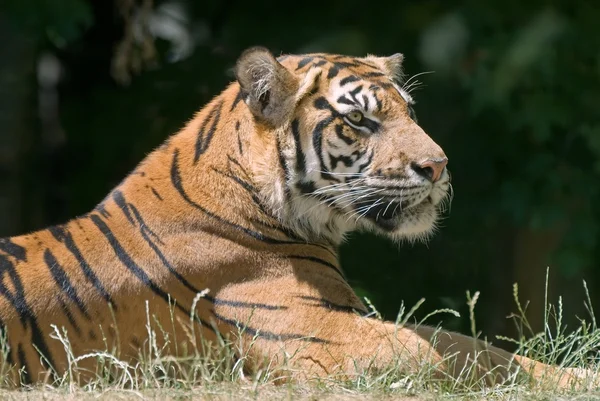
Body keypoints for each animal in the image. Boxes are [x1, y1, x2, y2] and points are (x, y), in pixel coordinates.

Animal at [0, 46, 596, 388]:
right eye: (359, 120)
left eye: (410, 111)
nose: (439, 166)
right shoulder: (318, 334)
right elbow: (454, 355)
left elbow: (478, 347)